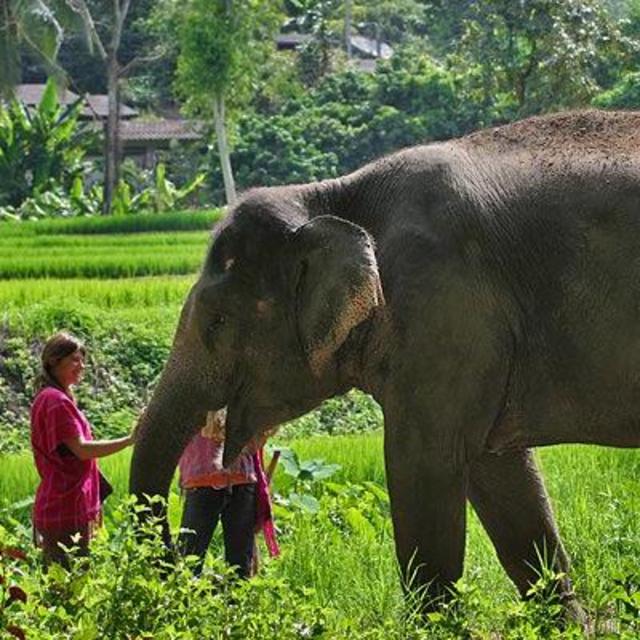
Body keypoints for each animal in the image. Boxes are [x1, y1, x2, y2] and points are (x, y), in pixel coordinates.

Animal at [130, 109, 640, 614]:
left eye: (217, 322)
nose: (185, 586)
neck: (333, 195)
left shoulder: (444, 307)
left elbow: (424, 465)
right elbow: (502, 479)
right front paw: (564, 622)